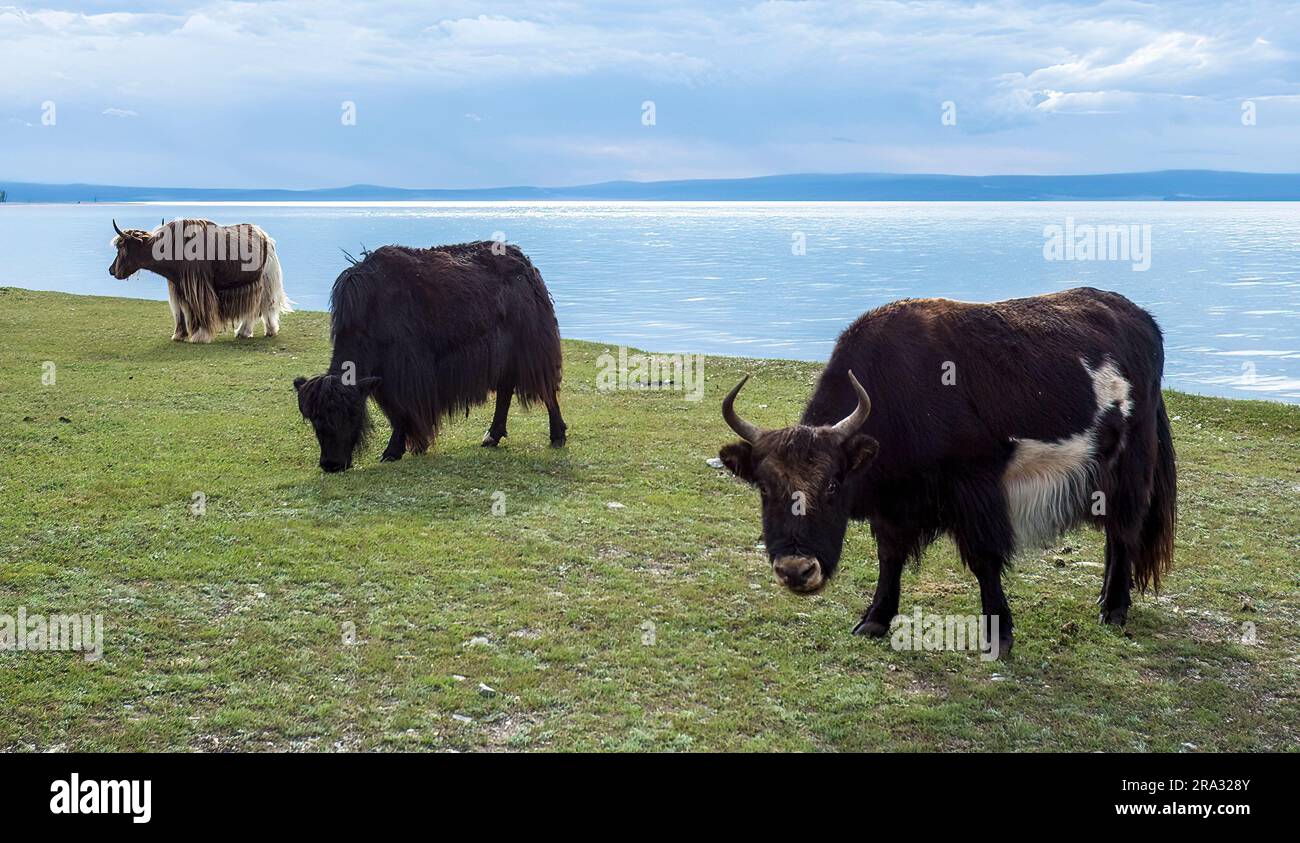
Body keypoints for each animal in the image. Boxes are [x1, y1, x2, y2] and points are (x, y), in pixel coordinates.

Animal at [109, 218, 291, 343]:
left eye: (122, 246)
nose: (111, 270)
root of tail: (266, 238)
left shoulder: (199, 285)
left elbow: (202, 308)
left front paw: (200, 336)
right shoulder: (178, 287)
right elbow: (180, 311)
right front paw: (179, 335)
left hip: (265, 280)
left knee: (265, 306)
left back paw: (263, 331)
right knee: (256, 308)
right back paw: (247, 332)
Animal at [294, 241, 567, 472]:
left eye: (351, 414)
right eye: (315, 419)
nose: (331, 465)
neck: (369, 313)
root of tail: (526, 263)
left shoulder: (404, 371)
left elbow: (400, 412)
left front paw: (394, 451)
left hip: (531, 345)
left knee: (546, 390)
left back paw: (557, 437)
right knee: (505, 389)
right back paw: (491, 437)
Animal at [717, 288, 1176, 657]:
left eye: (833, 484)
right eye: (764, 488)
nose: (797, 571)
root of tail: (1143, 319)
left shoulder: (974, 487)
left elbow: (984, 558)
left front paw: (999, 636)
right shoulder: (893, 502)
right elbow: (890, 555)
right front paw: (875, 620)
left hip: (1130, 464)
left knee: (1124, 529)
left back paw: (1114, 609)